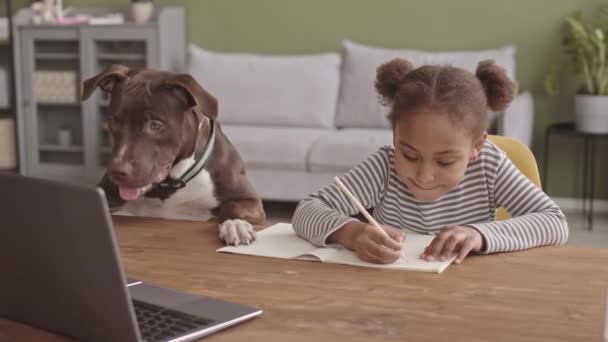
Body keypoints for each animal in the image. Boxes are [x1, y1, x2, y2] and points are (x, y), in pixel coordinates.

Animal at [81, 65, 264, 246]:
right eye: (113, 122)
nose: (117, 171)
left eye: (155, 125)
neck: (171, 183)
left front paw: (235, 224)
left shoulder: (249, 199)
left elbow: (233, 207)